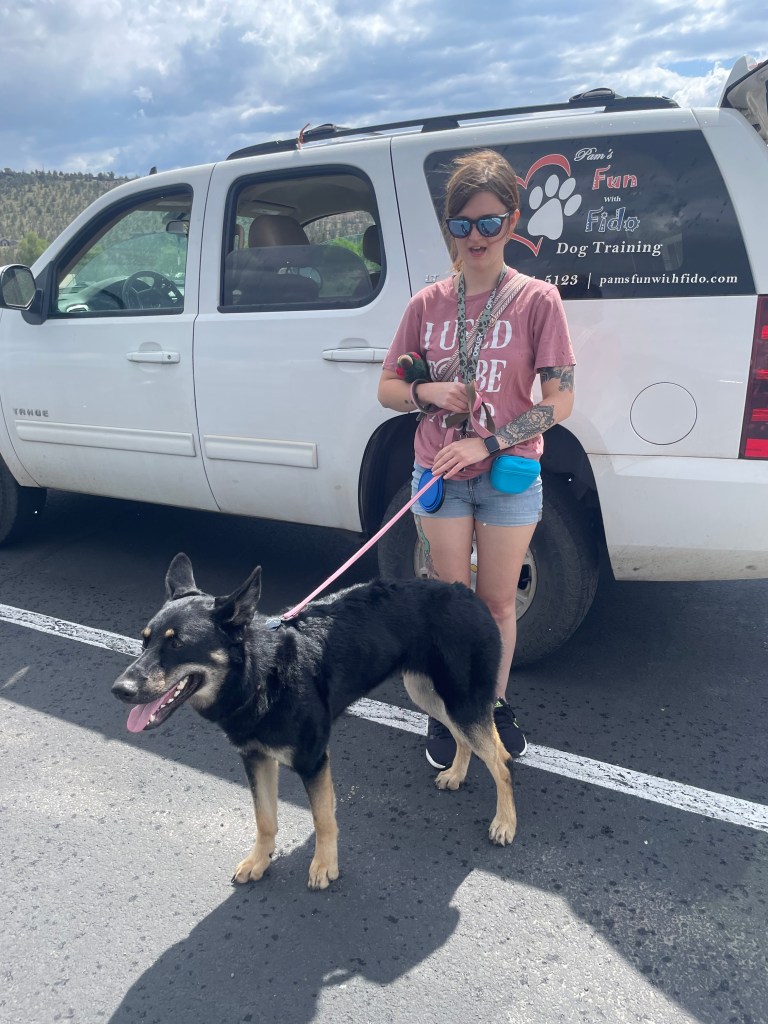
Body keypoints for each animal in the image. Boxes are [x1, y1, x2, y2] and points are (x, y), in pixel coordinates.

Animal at [111, 553, 517, 889]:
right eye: (144, 641)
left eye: (178, 644)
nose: (120, 690)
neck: (262, 674)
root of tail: (465, 590)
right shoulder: (256, 758)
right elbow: (264, 818)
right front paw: (260, 861)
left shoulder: (314, 760)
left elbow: (323, 819)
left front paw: (324, 866)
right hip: (429, 693)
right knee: (463, 739)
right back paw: (457, 774)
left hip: (461, 700)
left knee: (501, 760)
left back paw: (505, 823)